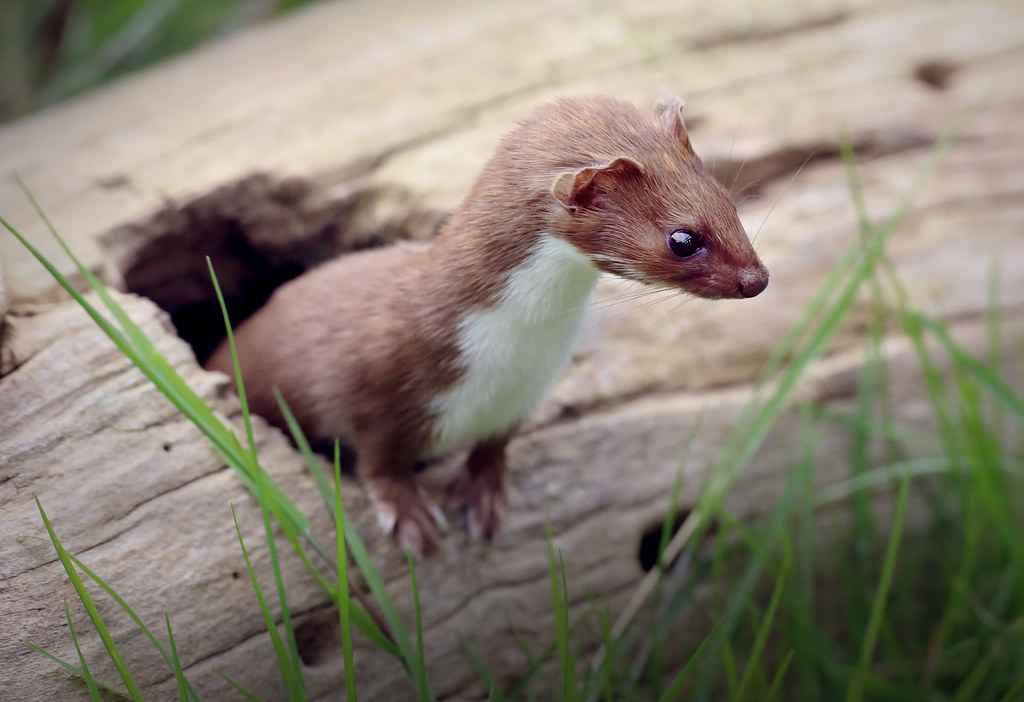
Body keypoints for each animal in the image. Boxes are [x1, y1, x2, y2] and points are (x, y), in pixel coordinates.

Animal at [203, 94, 770, 556]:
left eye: (727, 199)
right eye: (682, 238)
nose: (758, 279)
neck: (511, 355)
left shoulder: (527, 391)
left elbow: (494, 445)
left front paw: (486, 496)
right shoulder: (371, 382)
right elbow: (378, 458)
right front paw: (411, 516)